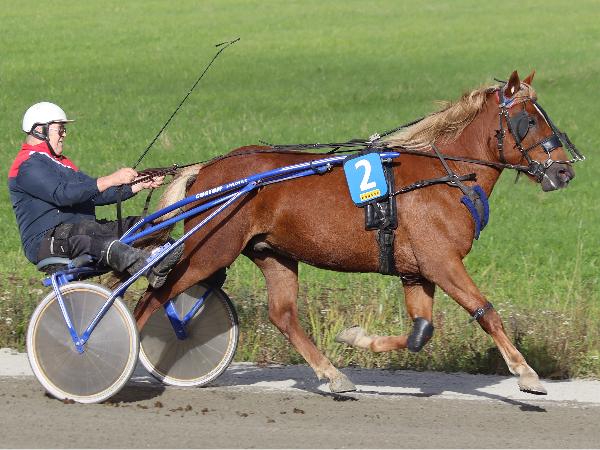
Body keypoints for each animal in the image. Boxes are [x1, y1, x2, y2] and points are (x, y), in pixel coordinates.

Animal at [133, 70, 580, 395]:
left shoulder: (416, 272)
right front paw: (526, 373)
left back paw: (333, 375)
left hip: (273, 254)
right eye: (528, 120)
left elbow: (420, 333)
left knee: (282, 314)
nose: (564, 171)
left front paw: (356, 339)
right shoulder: (442, 262)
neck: (444, 175)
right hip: (209, 250)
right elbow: (486, 311)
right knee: (152, 299)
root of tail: (208, 170)